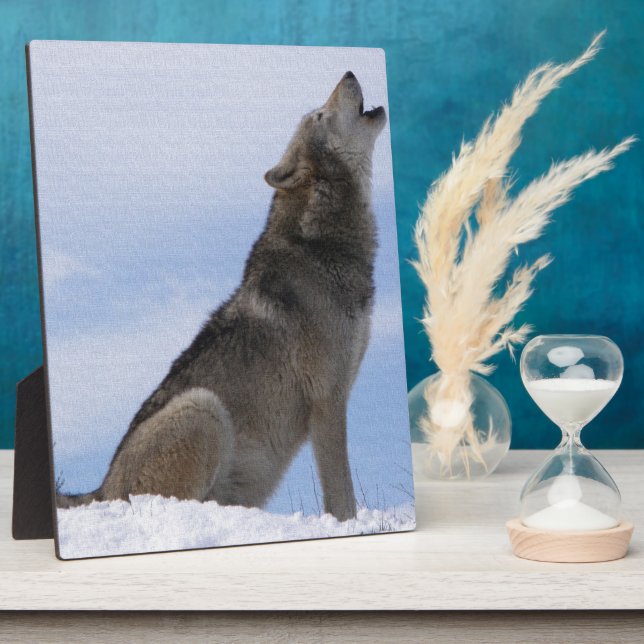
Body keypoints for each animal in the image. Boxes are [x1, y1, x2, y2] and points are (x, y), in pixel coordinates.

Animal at [57, 72, 386, 521]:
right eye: (320, 114)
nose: (349, 73)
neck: (322, 245)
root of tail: (101, 489)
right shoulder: (327, 399)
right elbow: (342, 494)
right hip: (204, 408)